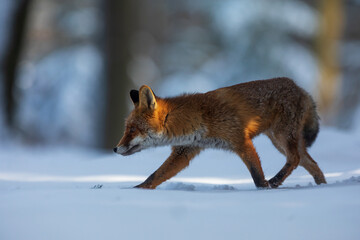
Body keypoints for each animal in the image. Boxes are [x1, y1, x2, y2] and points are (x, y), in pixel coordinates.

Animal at [114, 78, 326, 188]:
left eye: (132, 129)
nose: (115, 149)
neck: (197, 119)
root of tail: (299, 87)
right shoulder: (185, 151)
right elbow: (155, 176)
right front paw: (136, 191)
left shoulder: (241, 141)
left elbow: (257, 175)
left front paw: (262, 190)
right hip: (280, 141)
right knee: (311, 163)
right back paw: (322, 186)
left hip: (282, 137)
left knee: (295, 159)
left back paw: (276, 181)